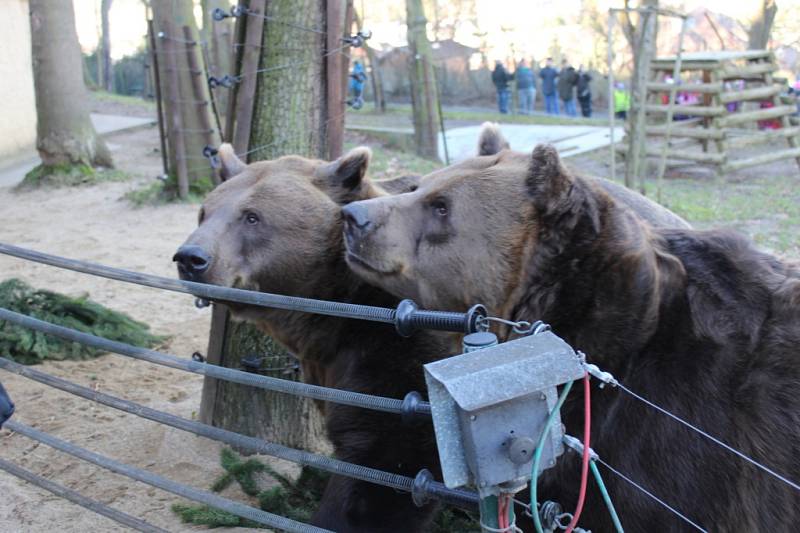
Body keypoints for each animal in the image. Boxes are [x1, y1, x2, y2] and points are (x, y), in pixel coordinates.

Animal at [173, 143, 456, 528]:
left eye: (252, 217)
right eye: (204, 212)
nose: (191, 258)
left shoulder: (404, 341)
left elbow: (389, 455)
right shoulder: (329, 363)